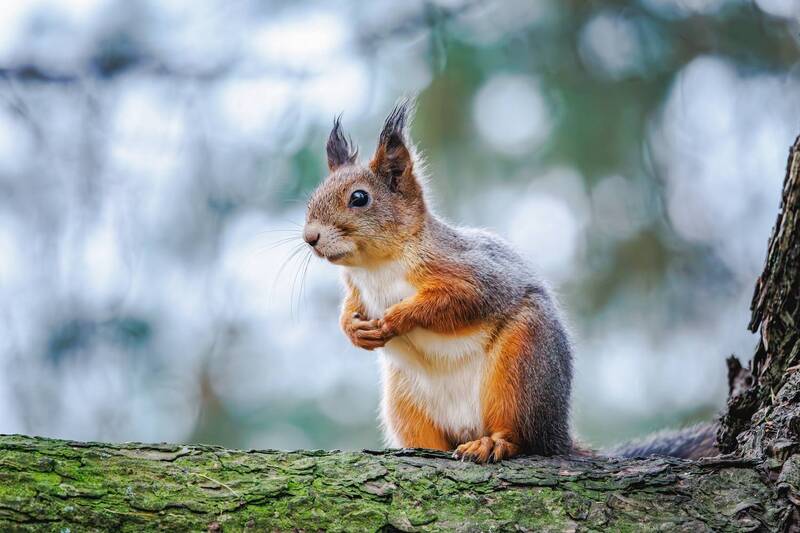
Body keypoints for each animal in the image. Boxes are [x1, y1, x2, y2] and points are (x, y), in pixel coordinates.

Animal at [303, 101, 719, 463]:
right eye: (313, 196)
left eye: (360, 198)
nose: (310, 237)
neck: (377, 267)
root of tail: (558, 436)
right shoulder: (356, 288)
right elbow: (349, 309)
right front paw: (354, 329)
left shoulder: (471, 273)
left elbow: (456, 302)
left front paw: (397, 317)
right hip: (404, 400)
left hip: (520, 369)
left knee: (520, 436)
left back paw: (493, 444)